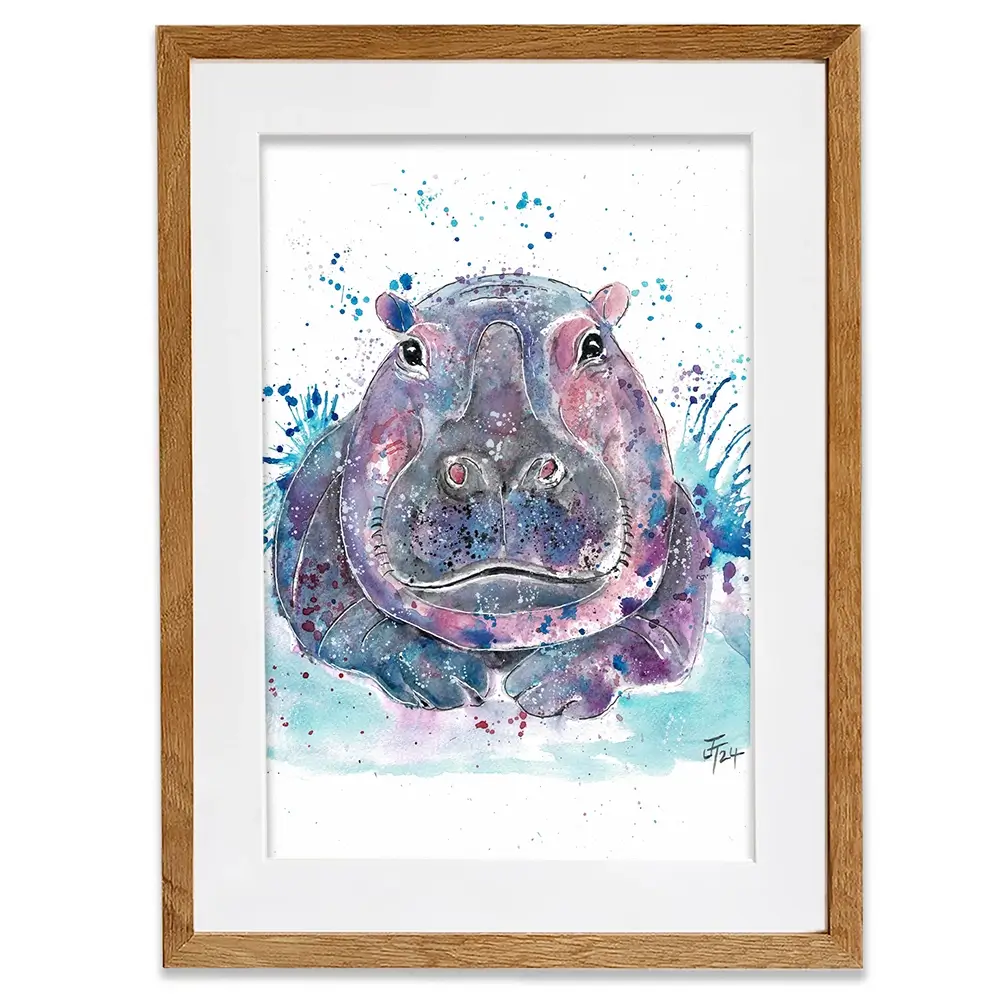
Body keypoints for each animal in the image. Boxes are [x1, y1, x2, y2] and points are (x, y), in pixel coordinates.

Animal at [272, 274, 711, 719]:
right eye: (410, 350)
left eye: (593, 344)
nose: (502, 464)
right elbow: (342, 618)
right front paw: (444, 678)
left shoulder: (683, 532)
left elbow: (660, 629)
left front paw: (553, 687)